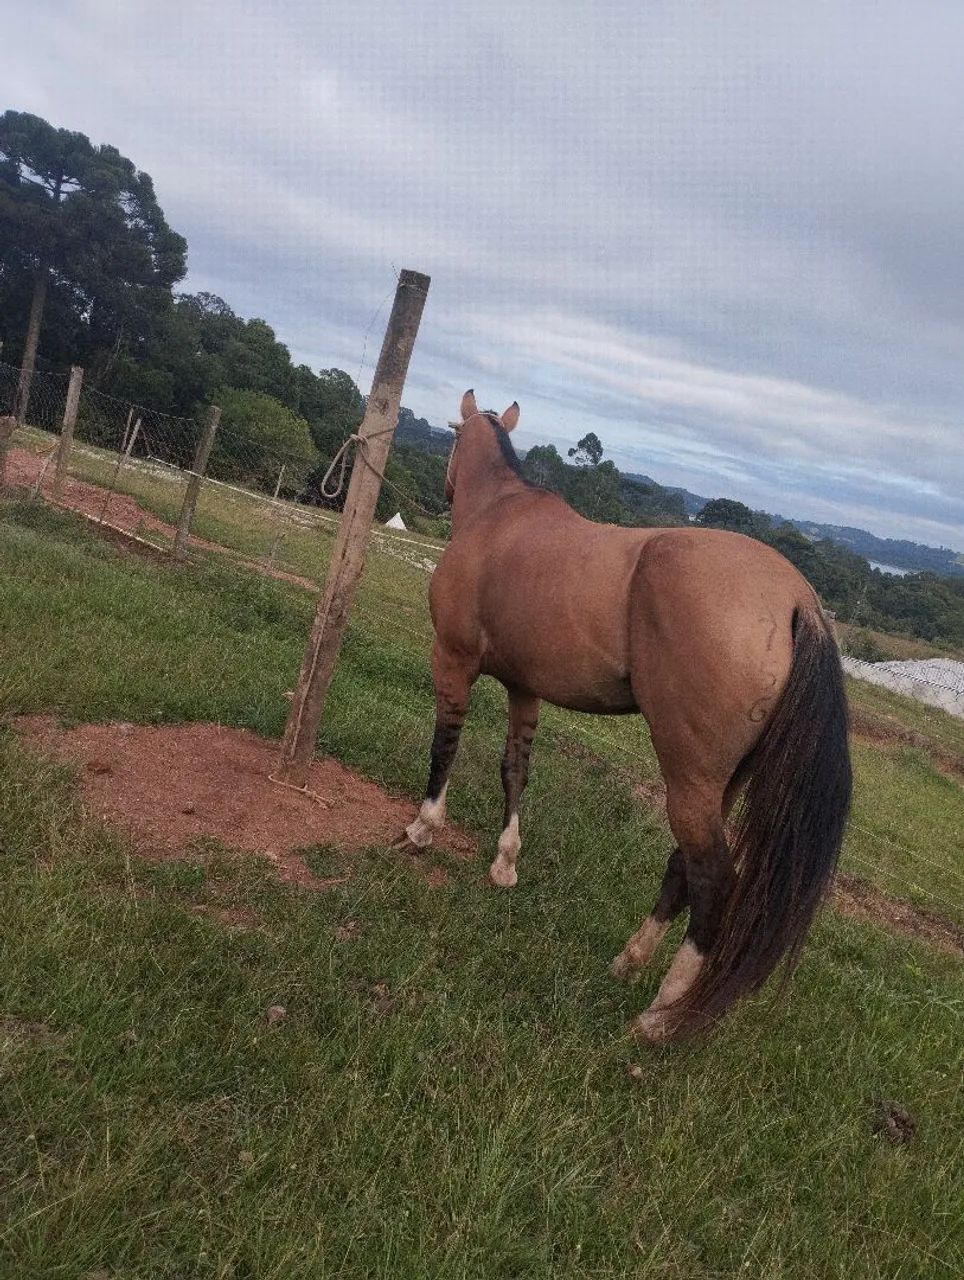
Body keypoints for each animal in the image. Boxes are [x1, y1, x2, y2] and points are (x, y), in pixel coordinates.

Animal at [400, 390, 851, 1041]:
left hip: (688, 776)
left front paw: (423, 826)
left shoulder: (453, 661)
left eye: (454, 438)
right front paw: (505, 862)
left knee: (713, 878)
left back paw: (659, 1013)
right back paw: (628, 961)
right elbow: (515, 771)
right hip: (718, 783)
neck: (499, 516)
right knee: (683, 866)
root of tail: (797, 600)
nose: (444, 483)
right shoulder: (525, 689)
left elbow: (446, 745)